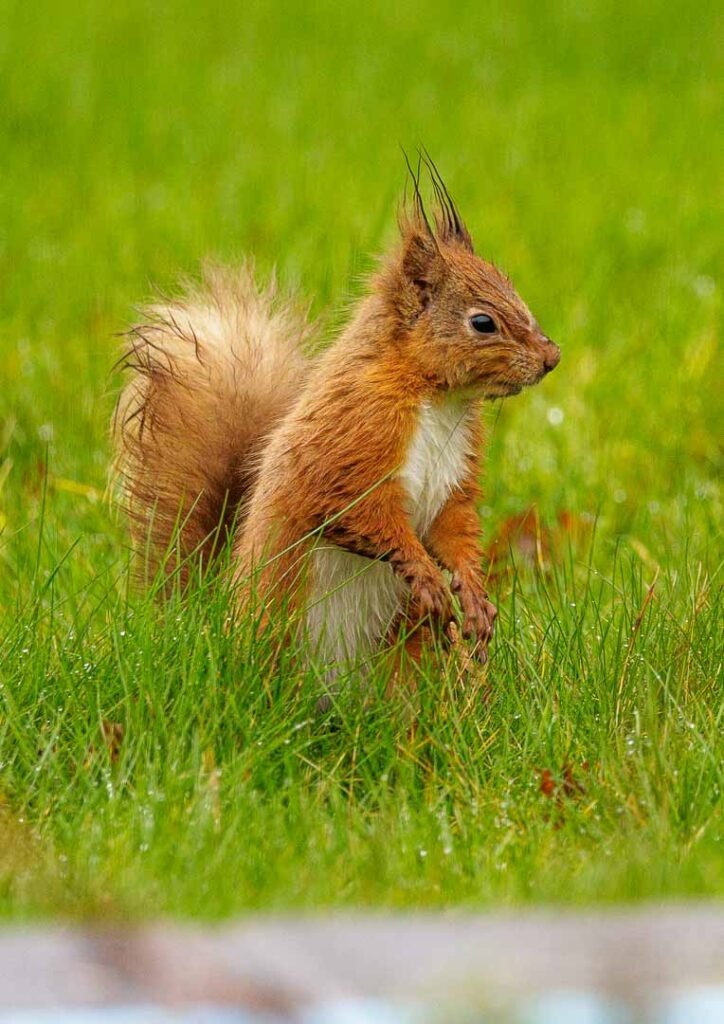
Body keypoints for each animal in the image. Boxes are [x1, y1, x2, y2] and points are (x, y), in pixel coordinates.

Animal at [117, 161, 561, 679]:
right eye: (483, 322)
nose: (551, 358)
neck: (439, 400)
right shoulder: (351, 435)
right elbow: (359, 510)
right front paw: (427, 576)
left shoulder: (455, 473)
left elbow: (455, 524)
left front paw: (474, 595)